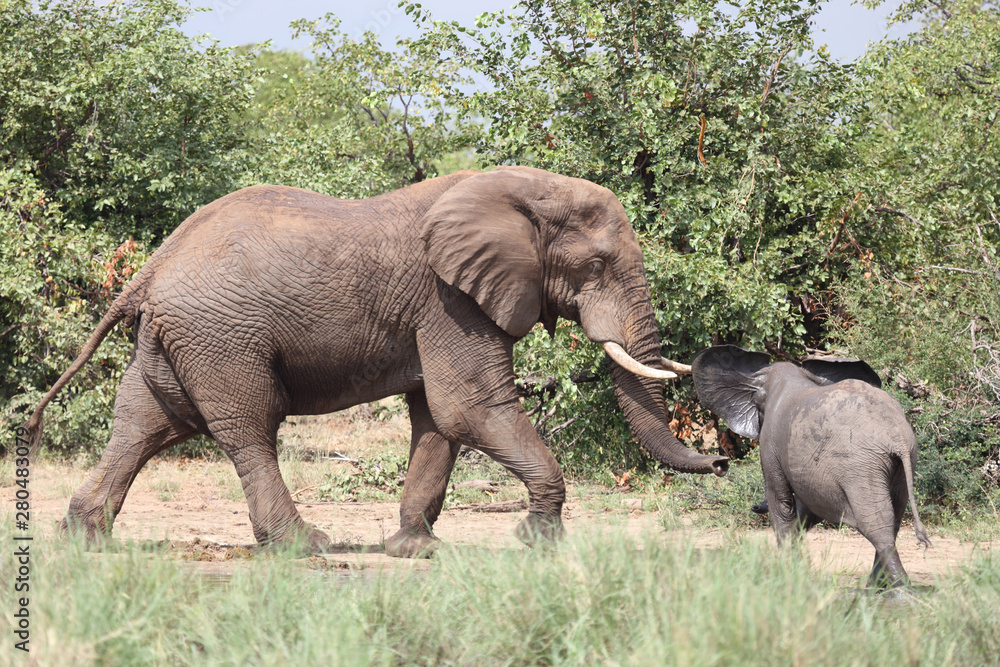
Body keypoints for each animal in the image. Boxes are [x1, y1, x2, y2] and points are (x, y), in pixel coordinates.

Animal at [25, 166, 729, 558]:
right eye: (597, 266)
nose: (722, 460)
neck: (522, 190)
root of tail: (149, 268)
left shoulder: (439, 311)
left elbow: (438, 421)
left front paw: (414, 551)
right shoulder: (450, 299)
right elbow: (469, 407)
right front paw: (540, 542)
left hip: (174, 339)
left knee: (144, 423)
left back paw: (85, 537)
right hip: (221, 336)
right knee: (248, 427)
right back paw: (303, 548)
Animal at [691, 345, 930, 589]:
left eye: (759, 409)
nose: (754, 507)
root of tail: (897, 437)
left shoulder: (770, 444)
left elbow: (781, 503)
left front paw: (786, 575)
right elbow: (806, 506)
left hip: (861, 466)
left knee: (877, 525)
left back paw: (897, 590)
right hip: (901, 464)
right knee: (893, 519)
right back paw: (878, 589)